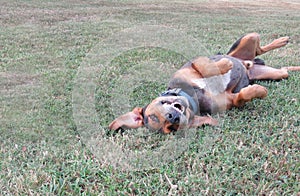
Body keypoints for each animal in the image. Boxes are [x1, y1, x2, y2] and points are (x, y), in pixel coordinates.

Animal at [108, 33, 300, 133]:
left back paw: (280, 41)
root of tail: (249, 64)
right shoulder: (230, 99)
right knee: (283, 69)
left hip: (248, 39)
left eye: (153, 116)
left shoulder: (193, 64)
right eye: (170, 128)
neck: (193, 97)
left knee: (258, 47)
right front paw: (259, 91)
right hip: (277, 74)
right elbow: (242, 96)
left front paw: (224, 65)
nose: (173, 118)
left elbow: (205, 67)